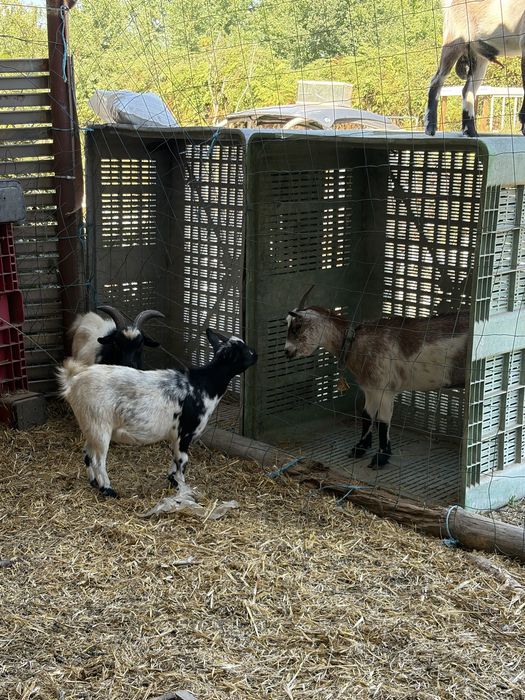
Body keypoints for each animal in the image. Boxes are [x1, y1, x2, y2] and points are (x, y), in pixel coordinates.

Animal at [58, 329, 257, 498]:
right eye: (244, 351)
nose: (256, 355)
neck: (204, 384)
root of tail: (73, 379)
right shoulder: (185, 432)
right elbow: (182, 460)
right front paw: (183, 488)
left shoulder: (176, 436)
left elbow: (175, 459)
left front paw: (172, 481)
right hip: (100, 425)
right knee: (99, 460)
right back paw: (108, 489)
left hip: (90, 425)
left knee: (87, 452)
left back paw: (93, 482)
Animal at [284, 286, 469, 469]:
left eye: (297, 326)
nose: (287, 351)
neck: (354, 342)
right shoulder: (370, 388)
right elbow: (366, 416)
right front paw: (359, 449)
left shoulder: (384, 389)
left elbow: (382, 422)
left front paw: (381, 458)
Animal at [425, 0, 525, 137]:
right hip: (455, 38)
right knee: (436, 80)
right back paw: (430, 127)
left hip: (479, 54)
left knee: (468, 90)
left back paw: (470, 131)